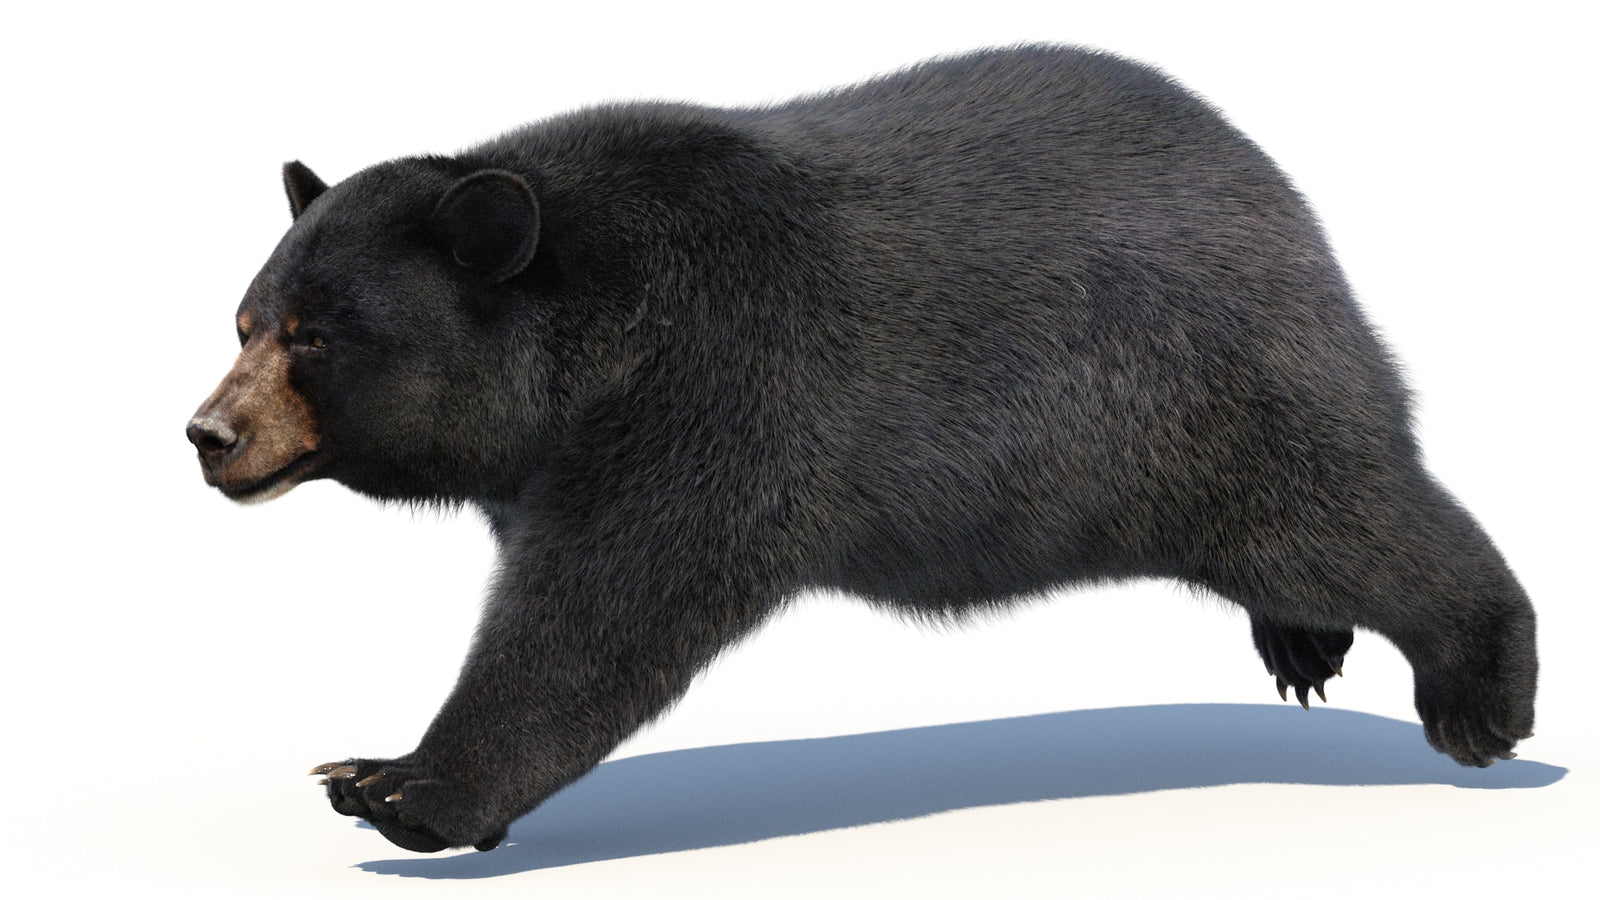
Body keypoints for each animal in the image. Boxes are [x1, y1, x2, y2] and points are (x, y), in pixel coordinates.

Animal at [186, 45, 1537, 853]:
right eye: (246, 320)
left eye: (316, 335)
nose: (209, 436)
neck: (582, 336)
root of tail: (1288, 202)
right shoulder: (561, 453)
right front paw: (378, 763)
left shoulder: (714, 393)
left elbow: (598, 615)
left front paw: (401, 784)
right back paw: (1303, 643)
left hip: (1200, 401)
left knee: (1350, 517)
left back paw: (1482, 693)